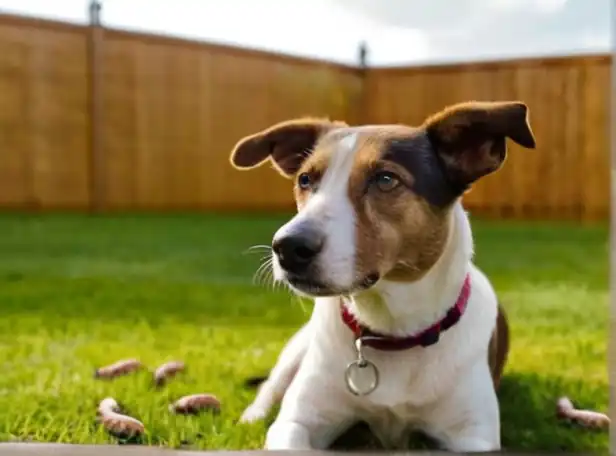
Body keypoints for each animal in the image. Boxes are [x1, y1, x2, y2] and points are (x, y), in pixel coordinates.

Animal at [230, 100, 536, 452]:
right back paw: (251, 416)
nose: (287, 247)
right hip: (299, 348)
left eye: (386, 179)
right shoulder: (298, 421)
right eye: (306, 179)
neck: (391, 332)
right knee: (270, 387)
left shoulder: (473, 435)